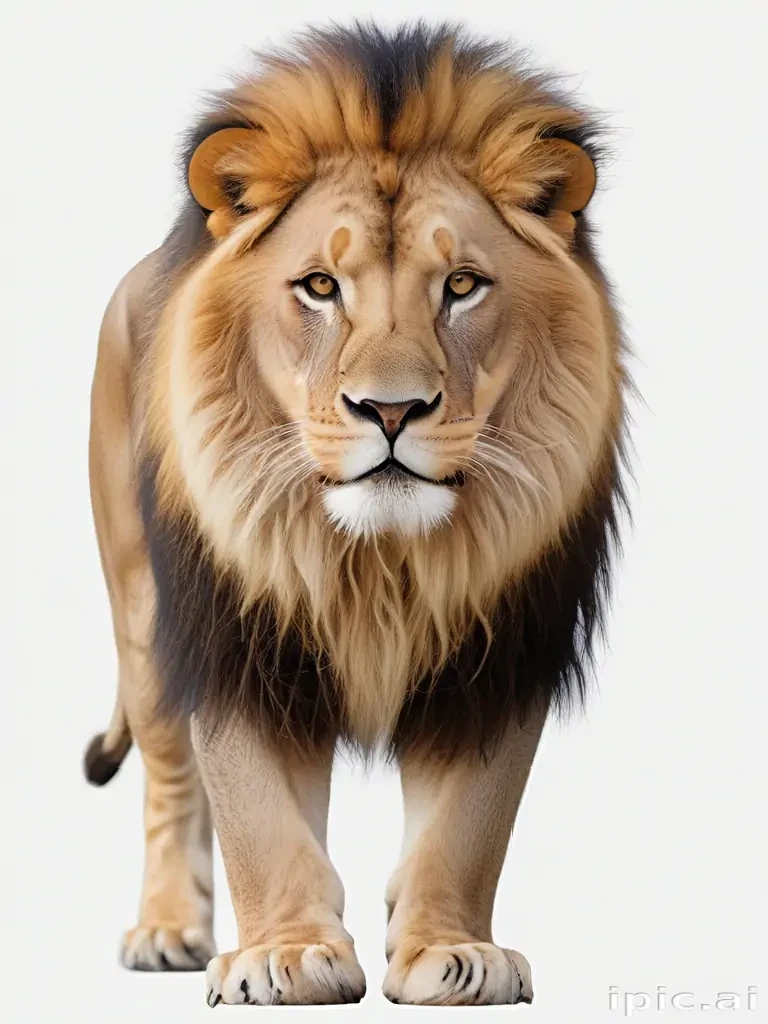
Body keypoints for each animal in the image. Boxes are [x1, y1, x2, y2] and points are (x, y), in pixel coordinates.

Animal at [83, 21, 628, 1007]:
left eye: (462, 285)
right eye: (320, 287)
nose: (391, 409)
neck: (378, 561)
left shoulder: (501, 648)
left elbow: (468, 828)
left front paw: (454, 953)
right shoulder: (234, 636)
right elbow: (256, 816)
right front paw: (287, 955)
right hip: (142, 612)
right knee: (170, 775)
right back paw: (169, 931)